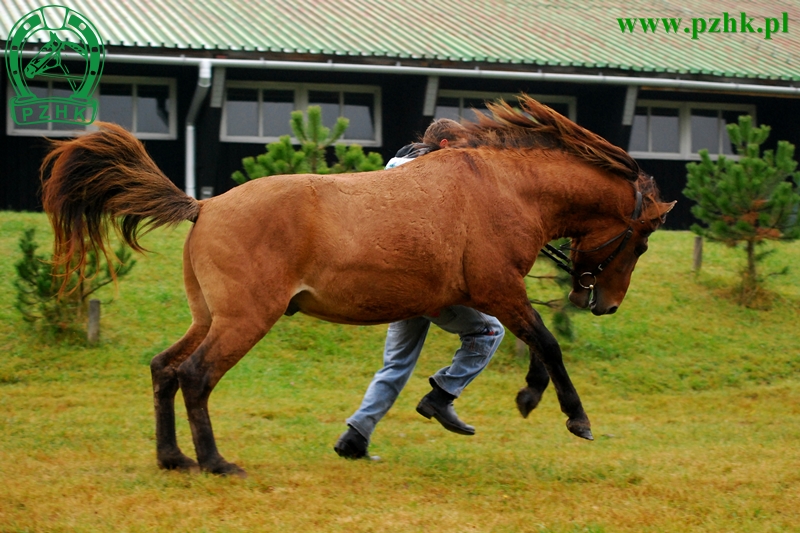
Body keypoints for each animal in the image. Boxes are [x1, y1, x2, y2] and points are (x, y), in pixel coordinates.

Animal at [39, 94, 676, 474]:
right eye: (642, 241)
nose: (606, 305)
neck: (502, 188)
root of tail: (204, 206)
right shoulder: (499, 291)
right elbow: (547, 341)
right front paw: (571, 416)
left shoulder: (472, 300)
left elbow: (520, 345)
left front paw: (495, 400)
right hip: (245, 320)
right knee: (195, 376)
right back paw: (217, 463)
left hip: (208, 316)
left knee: (164, 368)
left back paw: (173, 458)